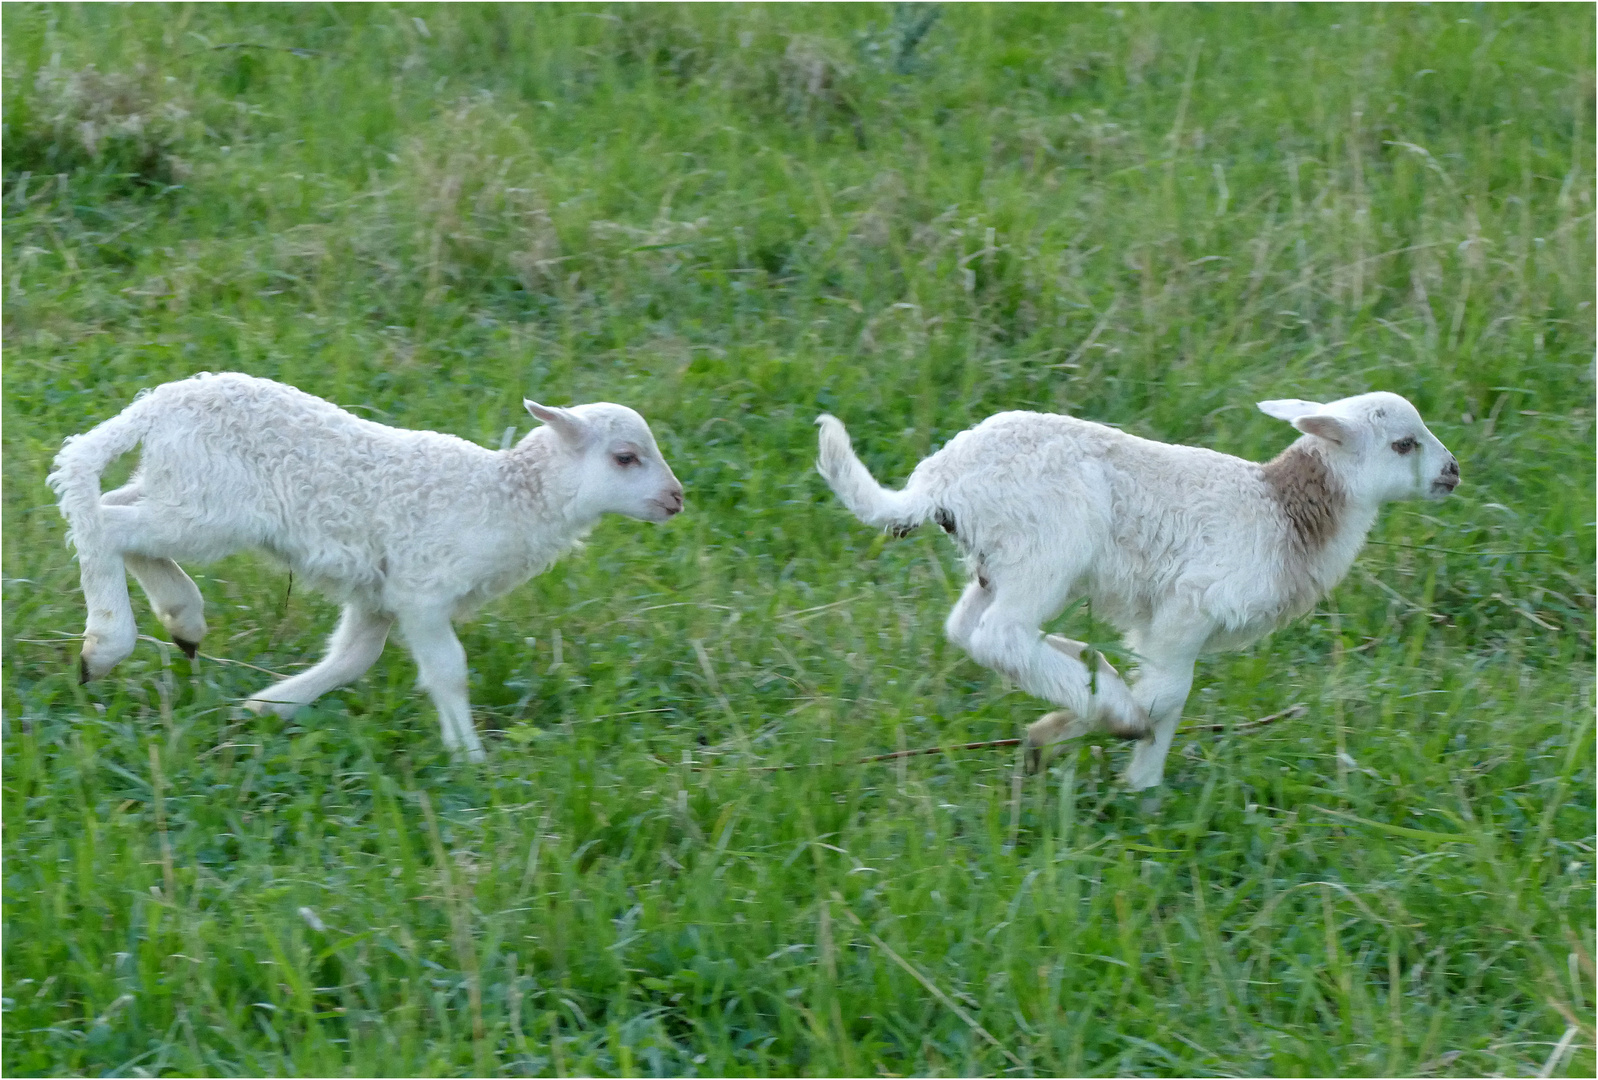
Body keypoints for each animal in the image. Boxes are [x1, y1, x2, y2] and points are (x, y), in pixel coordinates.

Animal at [46, 370, 683, 760]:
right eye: (626, 458)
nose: (677, 499)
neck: (508, 498)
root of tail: (160, 403)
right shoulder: (424, 588)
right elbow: (448, 669)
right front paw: (469, 757)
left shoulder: (379, 593)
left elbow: (353, 657)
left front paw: (268, 708)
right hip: (212, 509)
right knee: (107, 524)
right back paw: (107, 644)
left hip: (179, 487)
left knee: (109, 508)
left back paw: (182, 617)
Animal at [824, 393, 1463, 789]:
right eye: (1403, 444)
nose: (1453, 471)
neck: (1283, 513)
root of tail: (939, 479)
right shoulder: (1190, 605)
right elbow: (1169, 696)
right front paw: (1120, 756)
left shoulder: (1170, 618)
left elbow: (1168, 697)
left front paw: (1132, 779)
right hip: (1050, 543)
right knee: (1001, 636)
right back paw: (1104, 701)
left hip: (1001, 561)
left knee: (968, 630)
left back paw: (1089, 674)